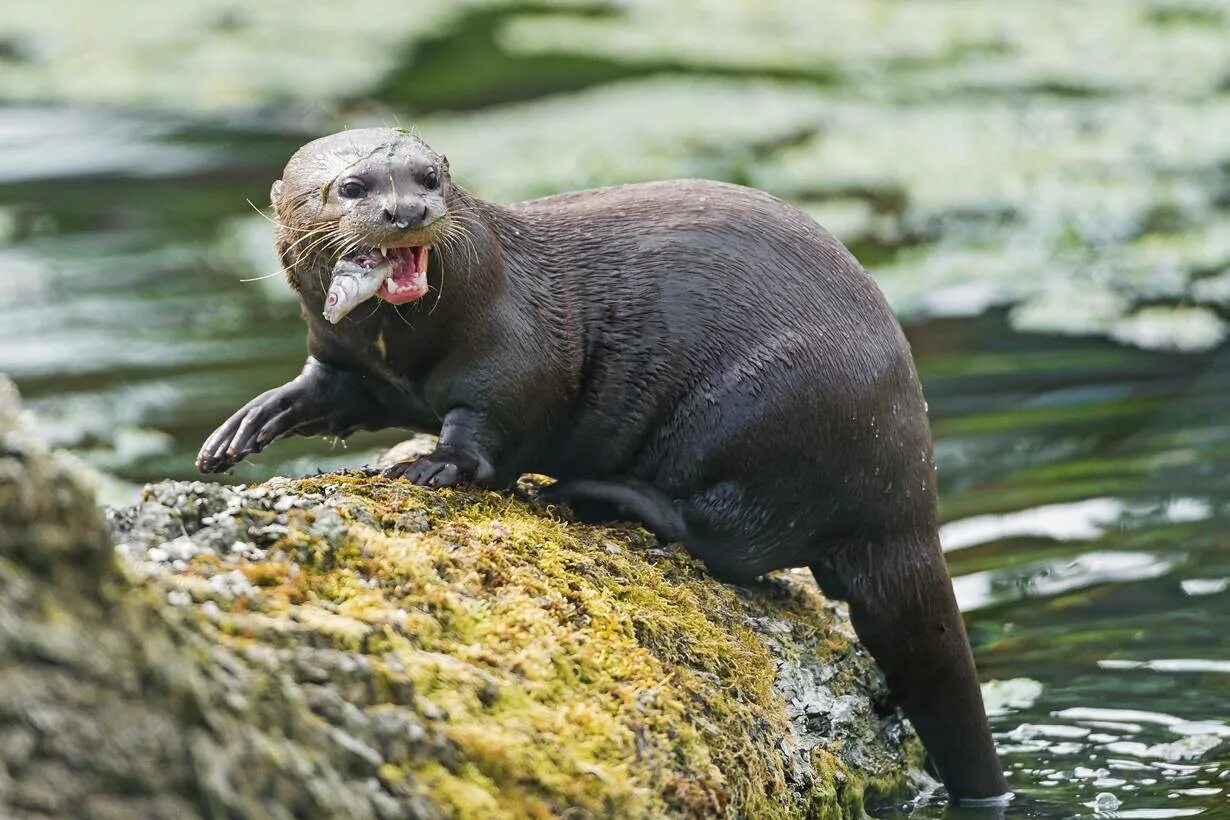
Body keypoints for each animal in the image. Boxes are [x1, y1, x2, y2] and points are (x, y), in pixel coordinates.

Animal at [196, 128, 1008, 801]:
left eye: (429, 177)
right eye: (353, 187)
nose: (407, 211)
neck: (408, 346)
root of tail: (909, 499)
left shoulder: (517, 352)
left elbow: (493, 427)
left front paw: (433, 466)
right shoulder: (351, 364)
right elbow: (322, 391)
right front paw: (246, 424)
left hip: (763, 409)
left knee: (737, 539)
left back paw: (597, 494)